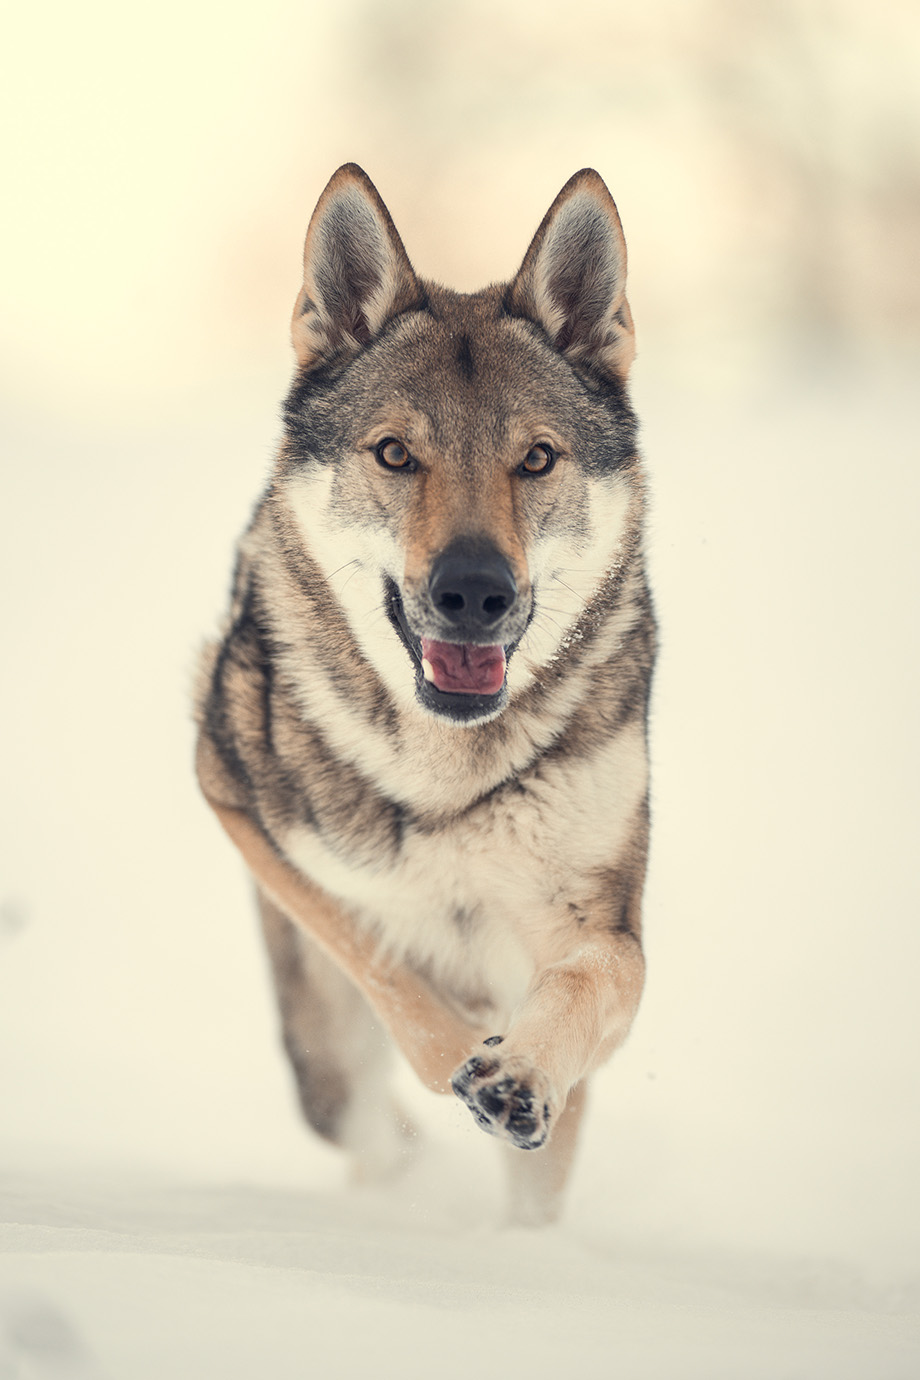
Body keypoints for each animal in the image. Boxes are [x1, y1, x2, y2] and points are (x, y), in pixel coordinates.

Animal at [195, 166, 653, 1225]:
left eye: (537, 458)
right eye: (396, 454)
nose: (473, 592)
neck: (450, 774)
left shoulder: (600, 933)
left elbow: (594, 984)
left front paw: (518, 1072)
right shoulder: (231, 795)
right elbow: (385, 967)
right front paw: (460, 1058)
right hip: (319, 1068)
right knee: (367, 1126)